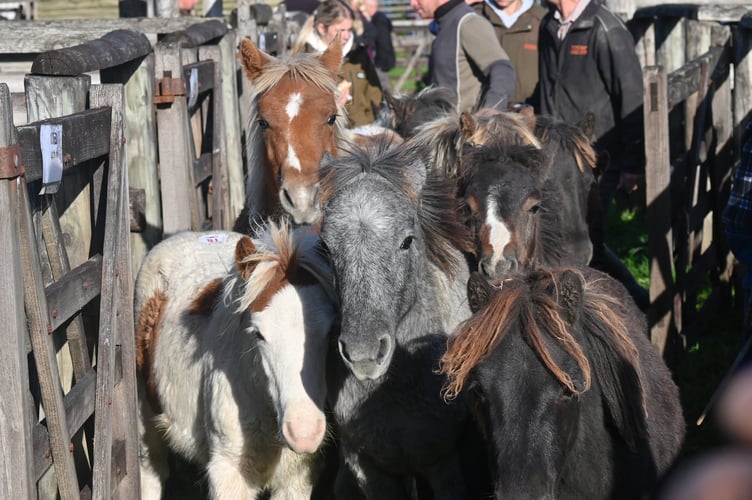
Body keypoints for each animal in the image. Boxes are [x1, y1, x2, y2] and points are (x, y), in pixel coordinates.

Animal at [133, 220, 336, 500]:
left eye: (330, 331)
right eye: (258, 334)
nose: (304, 432)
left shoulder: (296, 479)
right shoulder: (228, 474)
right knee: (151, 469)